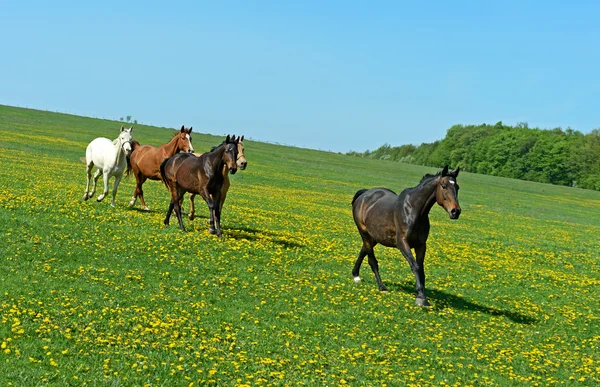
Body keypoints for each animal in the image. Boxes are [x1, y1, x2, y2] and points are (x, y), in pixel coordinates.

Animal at [350, 165, 462, 308]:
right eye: (443, 186)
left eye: (457, 187)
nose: (455, 211)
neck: (413, 210)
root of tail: (364, 194)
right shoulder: (402, 243)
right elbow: (415, 266)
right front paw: (421, 298)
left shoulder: (421, 245)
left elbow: (421, 269)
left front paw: (422, 295)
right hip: (364, 233)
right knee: (371, 259)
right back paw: (382, 286)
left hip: (374, 236)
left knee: (363, 250)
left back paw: (356, 275)